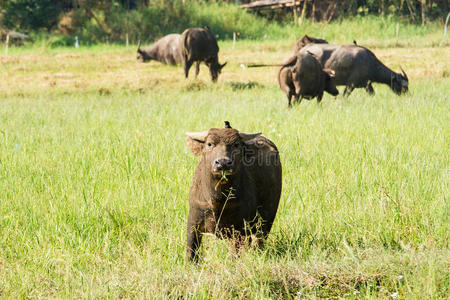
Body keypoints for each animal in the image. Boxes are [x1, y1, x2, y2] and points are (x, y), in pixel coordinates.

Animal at [185, 123, 280, 262]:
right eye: (209, 144)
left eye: (236, 144)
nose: (223, 163)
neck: (219, 201)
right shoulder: (193, 221)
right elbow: (191, 250)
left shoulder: (240, 228)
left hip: (267, 217)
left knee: (259, 240)